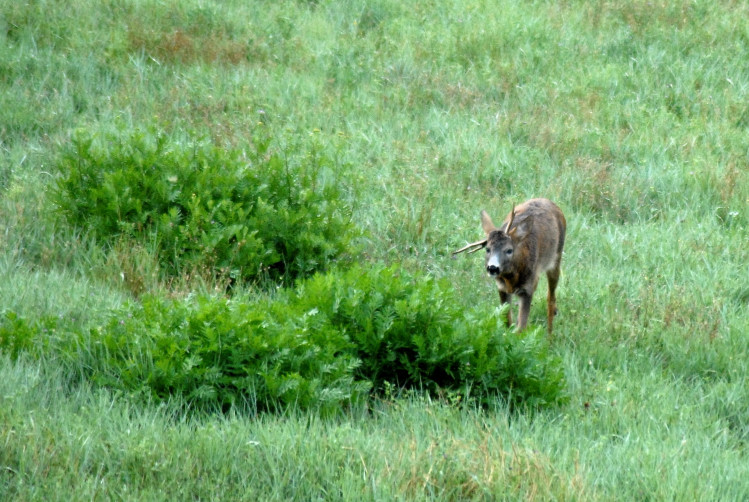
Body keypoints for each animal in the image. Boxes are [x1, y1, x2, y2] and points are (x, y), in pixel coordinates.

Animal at [450, 197, 568, 334]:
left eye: (509, 250)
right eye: (488, 249)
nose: (492, 267)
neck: (512, 277)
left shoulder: (528, 288)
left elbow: (521, 328)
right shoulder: (502, 288)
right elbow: (507, 321)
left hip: (556, 259)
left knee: (551, 298)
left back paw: (549, 335)